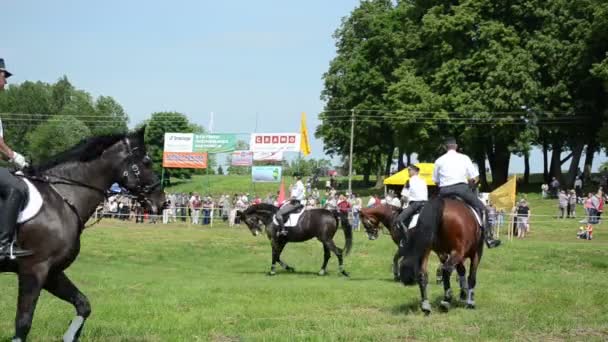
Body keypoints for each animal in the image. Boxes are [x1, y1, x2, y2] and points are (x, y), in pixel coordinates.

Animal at [1, 128, 163, 342]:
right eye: (147, 162)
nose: (163, 202)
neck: (62, 198)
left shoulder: (52, 271)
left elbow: (83, 305)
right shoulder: (34, 268)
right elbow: (23, 322)